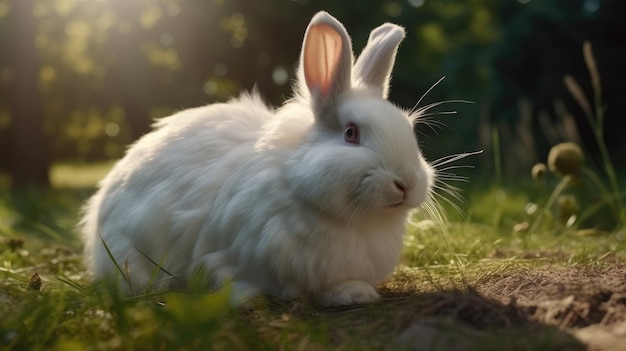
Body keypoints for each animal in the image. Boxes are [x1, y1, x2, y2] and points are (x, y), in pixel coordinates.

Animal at [81, 11, 434, 308]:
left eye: (409, 129)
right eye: (350, 133)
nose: (406, 183)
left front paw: (354, 294)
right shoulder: (224, 254)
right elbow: (228, 276)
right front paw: (247, 298)